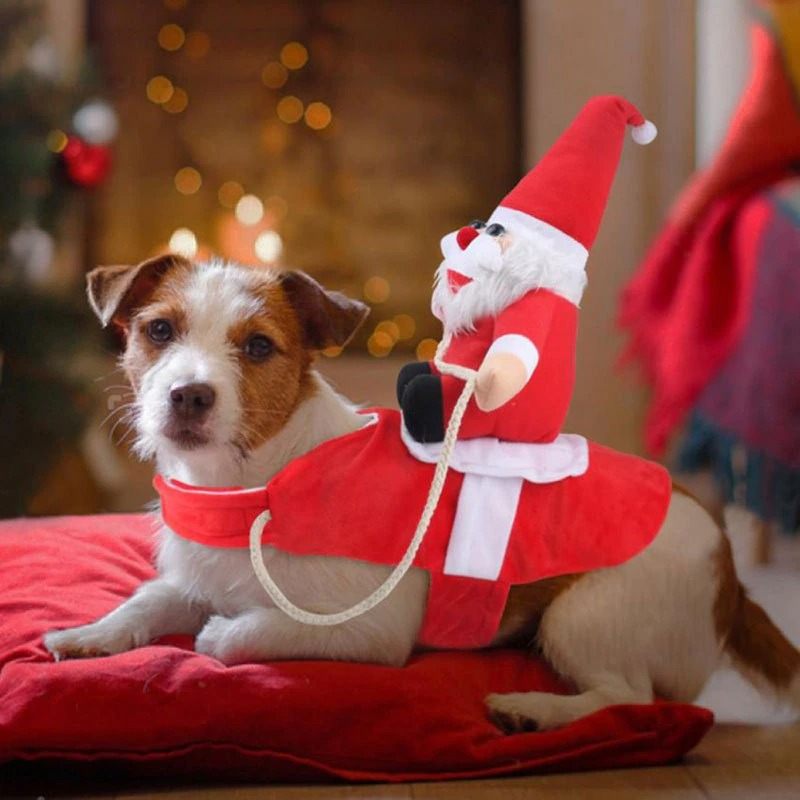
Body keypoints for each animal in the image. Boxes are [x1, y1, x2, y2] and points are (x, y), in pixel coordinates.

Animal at [45, 256, 800, 732]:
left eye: (258, 347)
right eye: (159, 331)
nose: (188, 396)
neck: (255, 483)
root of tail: (731, 572)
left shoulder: (371, 630)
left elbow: (239, 633)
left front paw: (219, 633)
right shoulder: (192, 577)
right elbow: (146, 601)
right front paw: (91, 634)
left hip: (582, 613)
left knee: (632, 699)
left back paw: (537, 709)